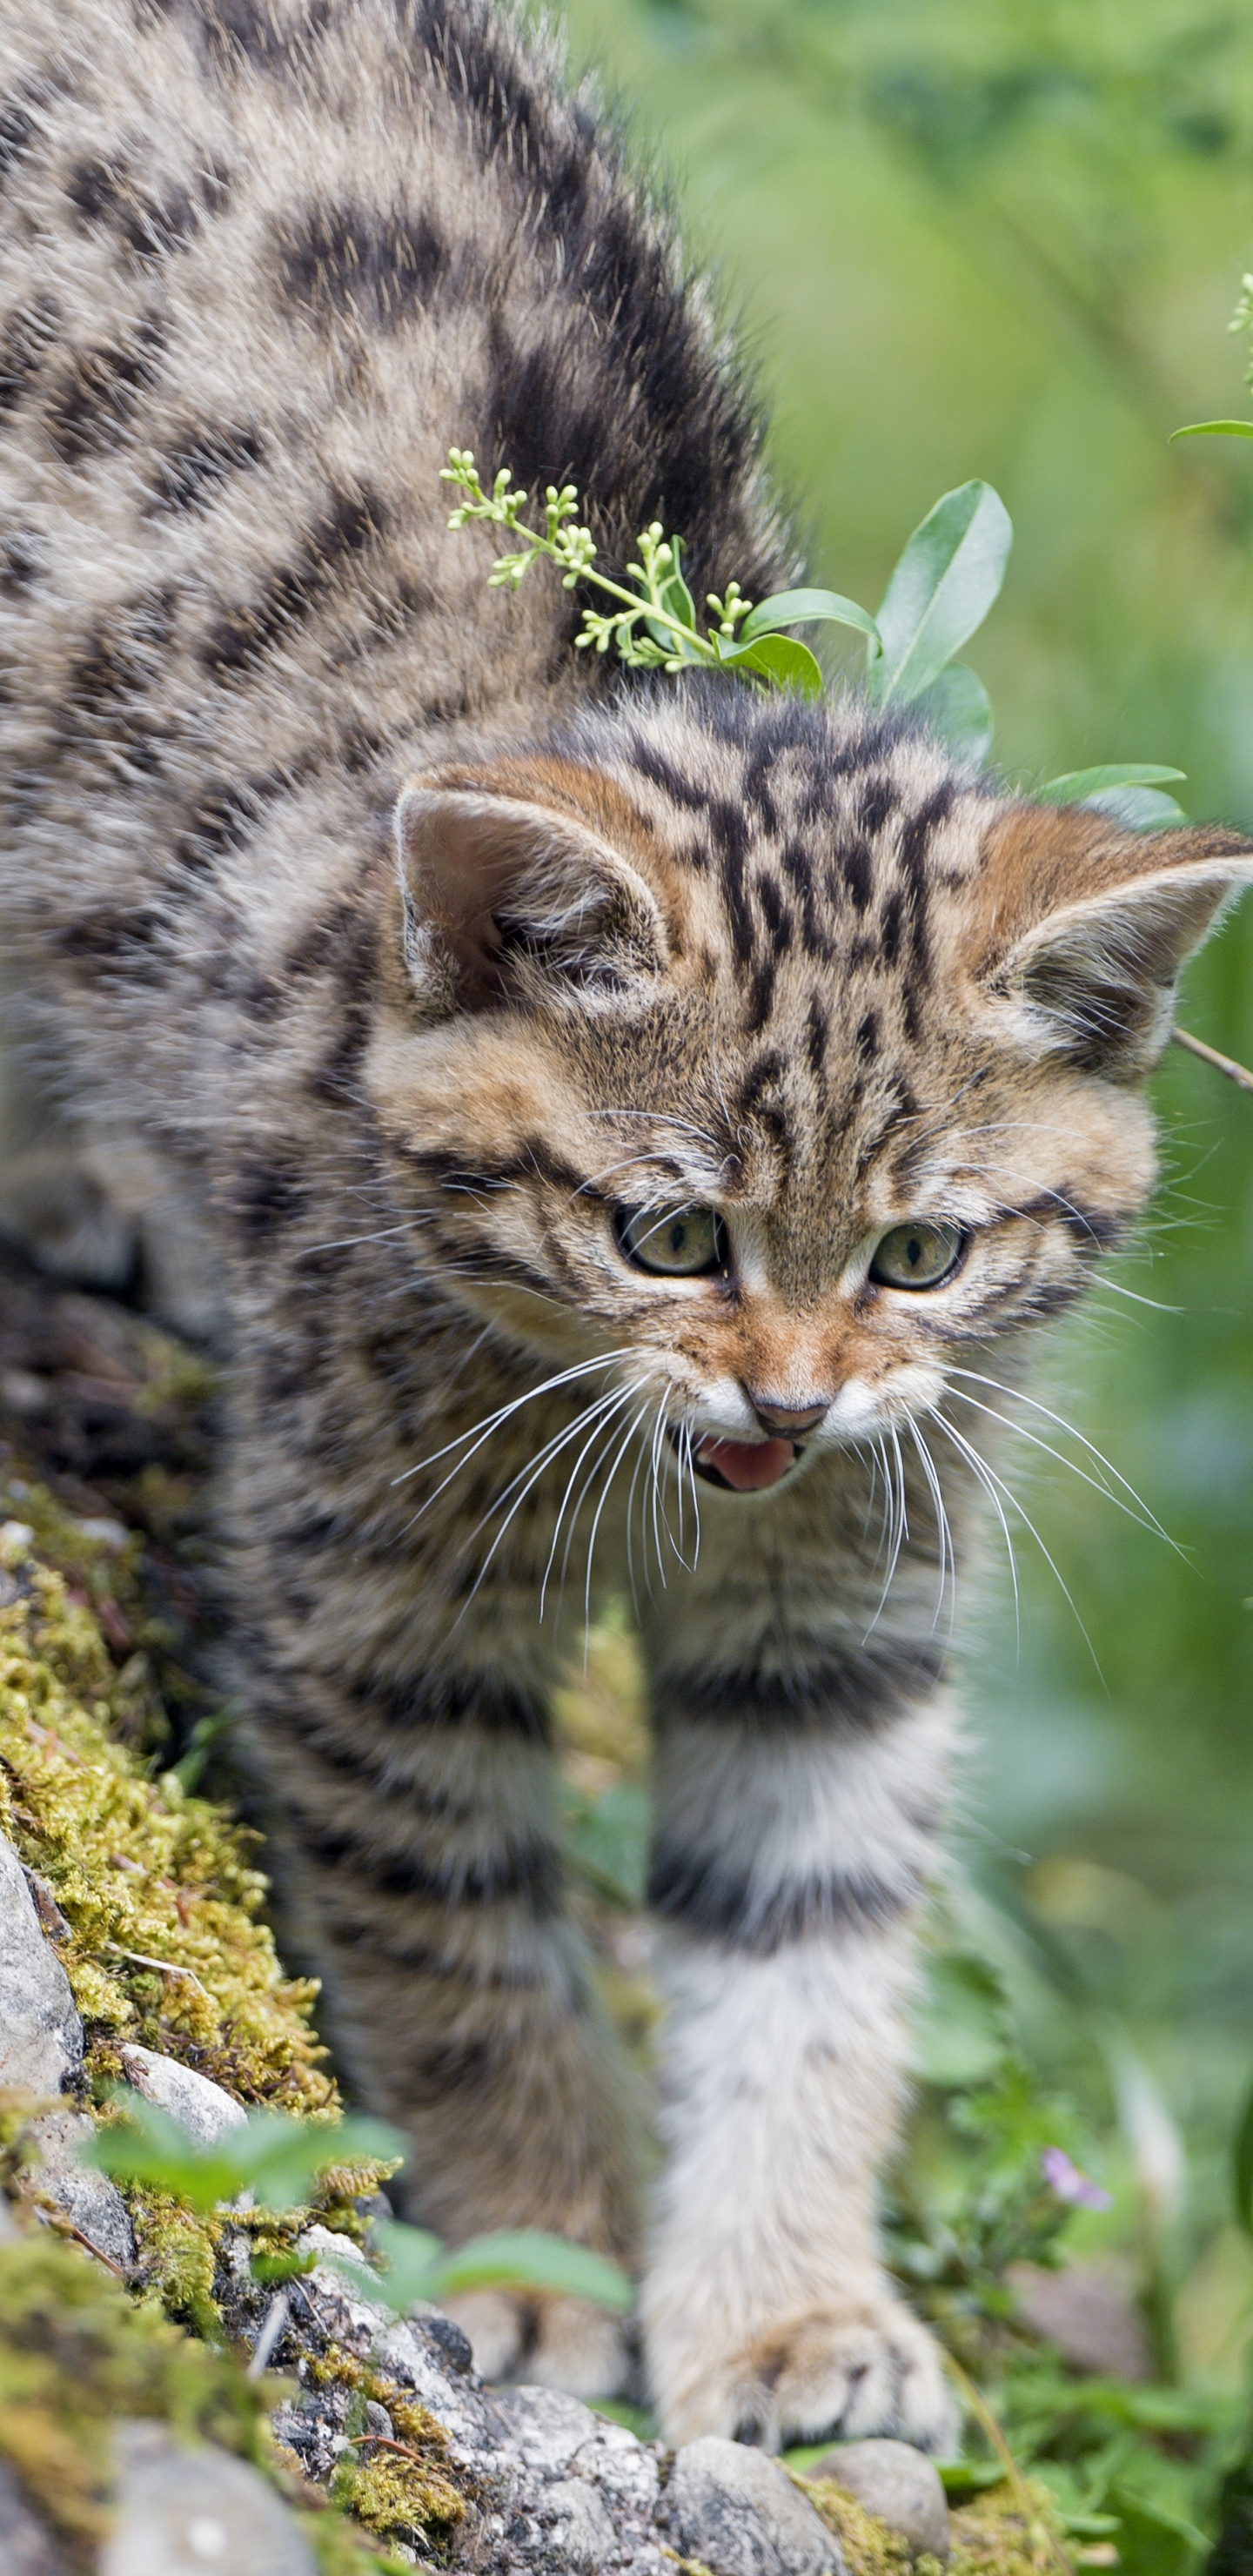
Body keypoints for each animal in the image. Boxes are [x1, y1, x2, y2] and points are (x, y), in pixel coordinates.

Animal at [2, 0, 1253, 2452]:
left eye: (920, 1257)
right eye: (669, 1238)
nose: (788, 1397)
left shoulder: (850, 1602)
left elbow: (811, 1939)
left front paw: (786, 2305)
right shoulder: (366, 1590)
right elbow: (458, 1923)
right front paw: (539, 2255)